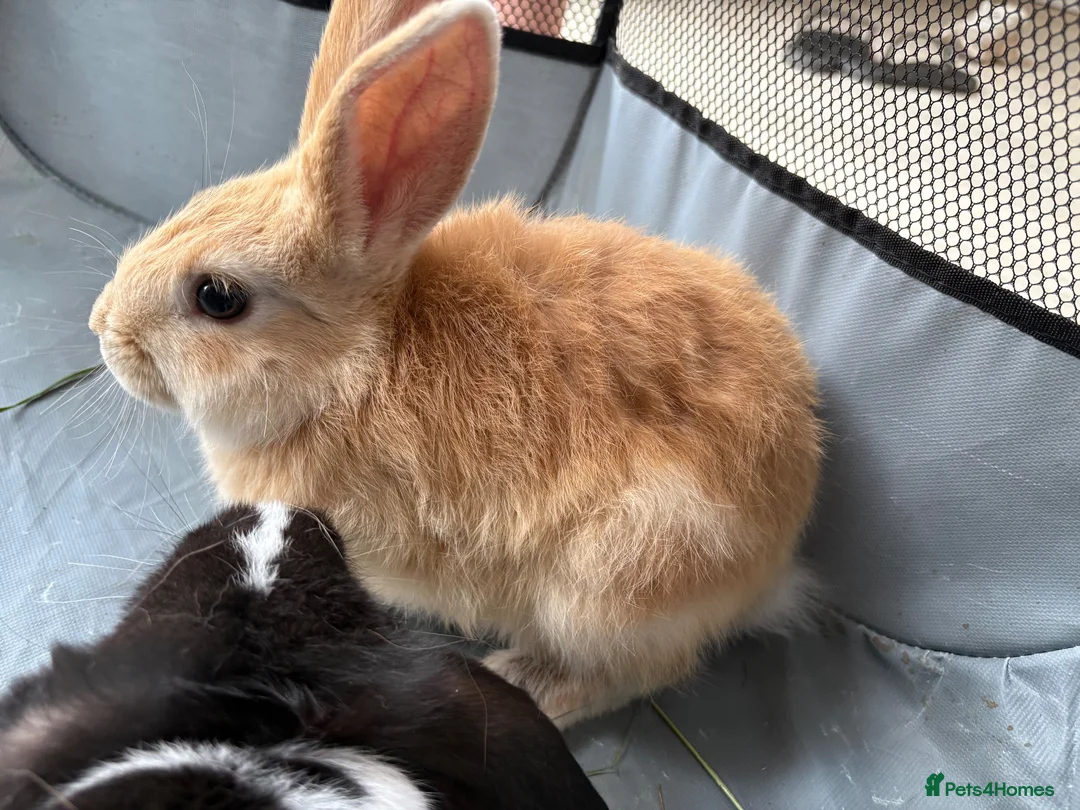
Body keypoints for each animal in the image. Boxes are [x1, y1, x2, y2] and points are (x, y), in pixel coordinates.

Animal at [87, 0, 824, 727]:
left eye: (218, 297)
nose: (103, 328)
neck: (351, 367)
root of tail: (776, 556)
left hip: (615, 582)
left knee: (639, 672)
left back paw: (526, 681)